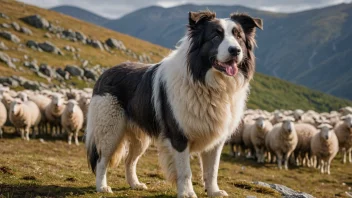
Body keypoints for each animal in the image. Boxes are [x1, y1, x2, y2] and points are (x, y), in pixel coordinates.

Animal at [85, 11, 262, 198]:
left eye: (238, 36)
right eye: (215, 36)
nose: (235, 50)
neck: (208, 83)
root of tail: (106, 73)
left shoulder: (216, 141)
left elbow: (212, 170)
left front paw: (214, 191)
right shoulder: (179, 136)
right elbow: (185, 171)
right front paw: (187, 193)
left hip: (139, 137)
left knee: (130, 161)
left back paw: (135, 184)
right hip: (110, 130)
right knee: (102, 160)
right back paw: (102, 187)